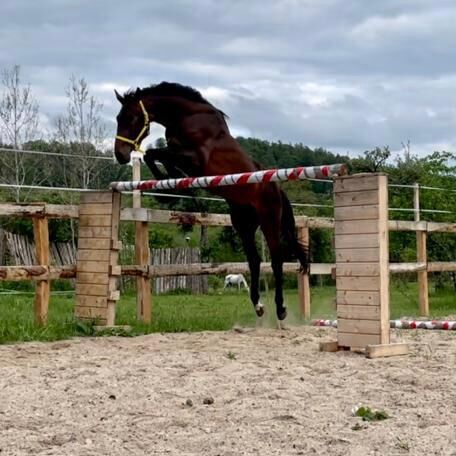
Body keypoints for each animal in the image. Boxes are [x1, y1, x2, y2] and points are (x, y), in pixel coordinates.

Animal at [113, 81, 310, 320]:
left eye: (131, 118)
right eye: (118, 118)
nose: (120, 155)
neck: (186, 116)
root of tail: (276, 188)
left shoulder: (194, 158)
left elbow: (153, 153)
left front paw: (166, 189)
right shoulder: (182, 156)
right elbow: (156, 156)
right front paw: (168, 188)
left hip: (269, 220)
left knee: (276, 259)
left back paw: (280, 308)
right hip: (244, 224)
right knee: (254, 261)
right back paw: (258, 305)